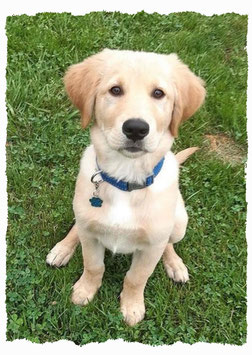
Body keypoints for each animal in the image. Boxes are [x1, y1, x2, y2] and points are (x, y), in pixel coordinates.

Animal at [46, 48, 206, 326]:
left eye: (158, 93)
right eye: (115, 90)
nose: (136, 128)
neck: (125, 178)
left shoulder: (151, 247)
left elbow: (136, 278)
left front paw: (131, 307)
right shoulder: (91, 238)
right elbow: (93, 266)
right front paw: (85, 291)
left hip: (179, 224)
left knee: (169, 243)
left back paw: (175, 265)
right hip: (83, 216)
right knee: (77, 226)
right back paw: (62, 249)